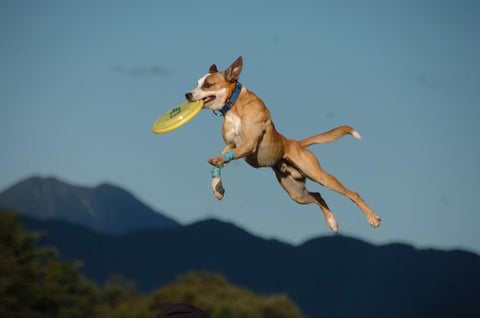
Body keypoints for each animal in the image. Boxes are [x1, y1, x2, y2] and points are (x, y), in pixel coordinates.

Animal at [186, 56, 380, 232]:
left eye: (207, 85)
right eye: (197, 83)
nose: (187, 94)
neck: (233, 106)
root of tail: (296, 143)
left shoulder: (249, 143)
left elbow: (224, 157)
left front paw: (217, 168)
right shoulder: (230, 145)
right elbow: (222, 161)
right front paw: (217, 188)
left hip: (319, 175)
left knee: (351, 193)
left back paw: (372, 218)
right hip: (296, 193)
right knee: (318, 196)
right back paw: (332, 222)